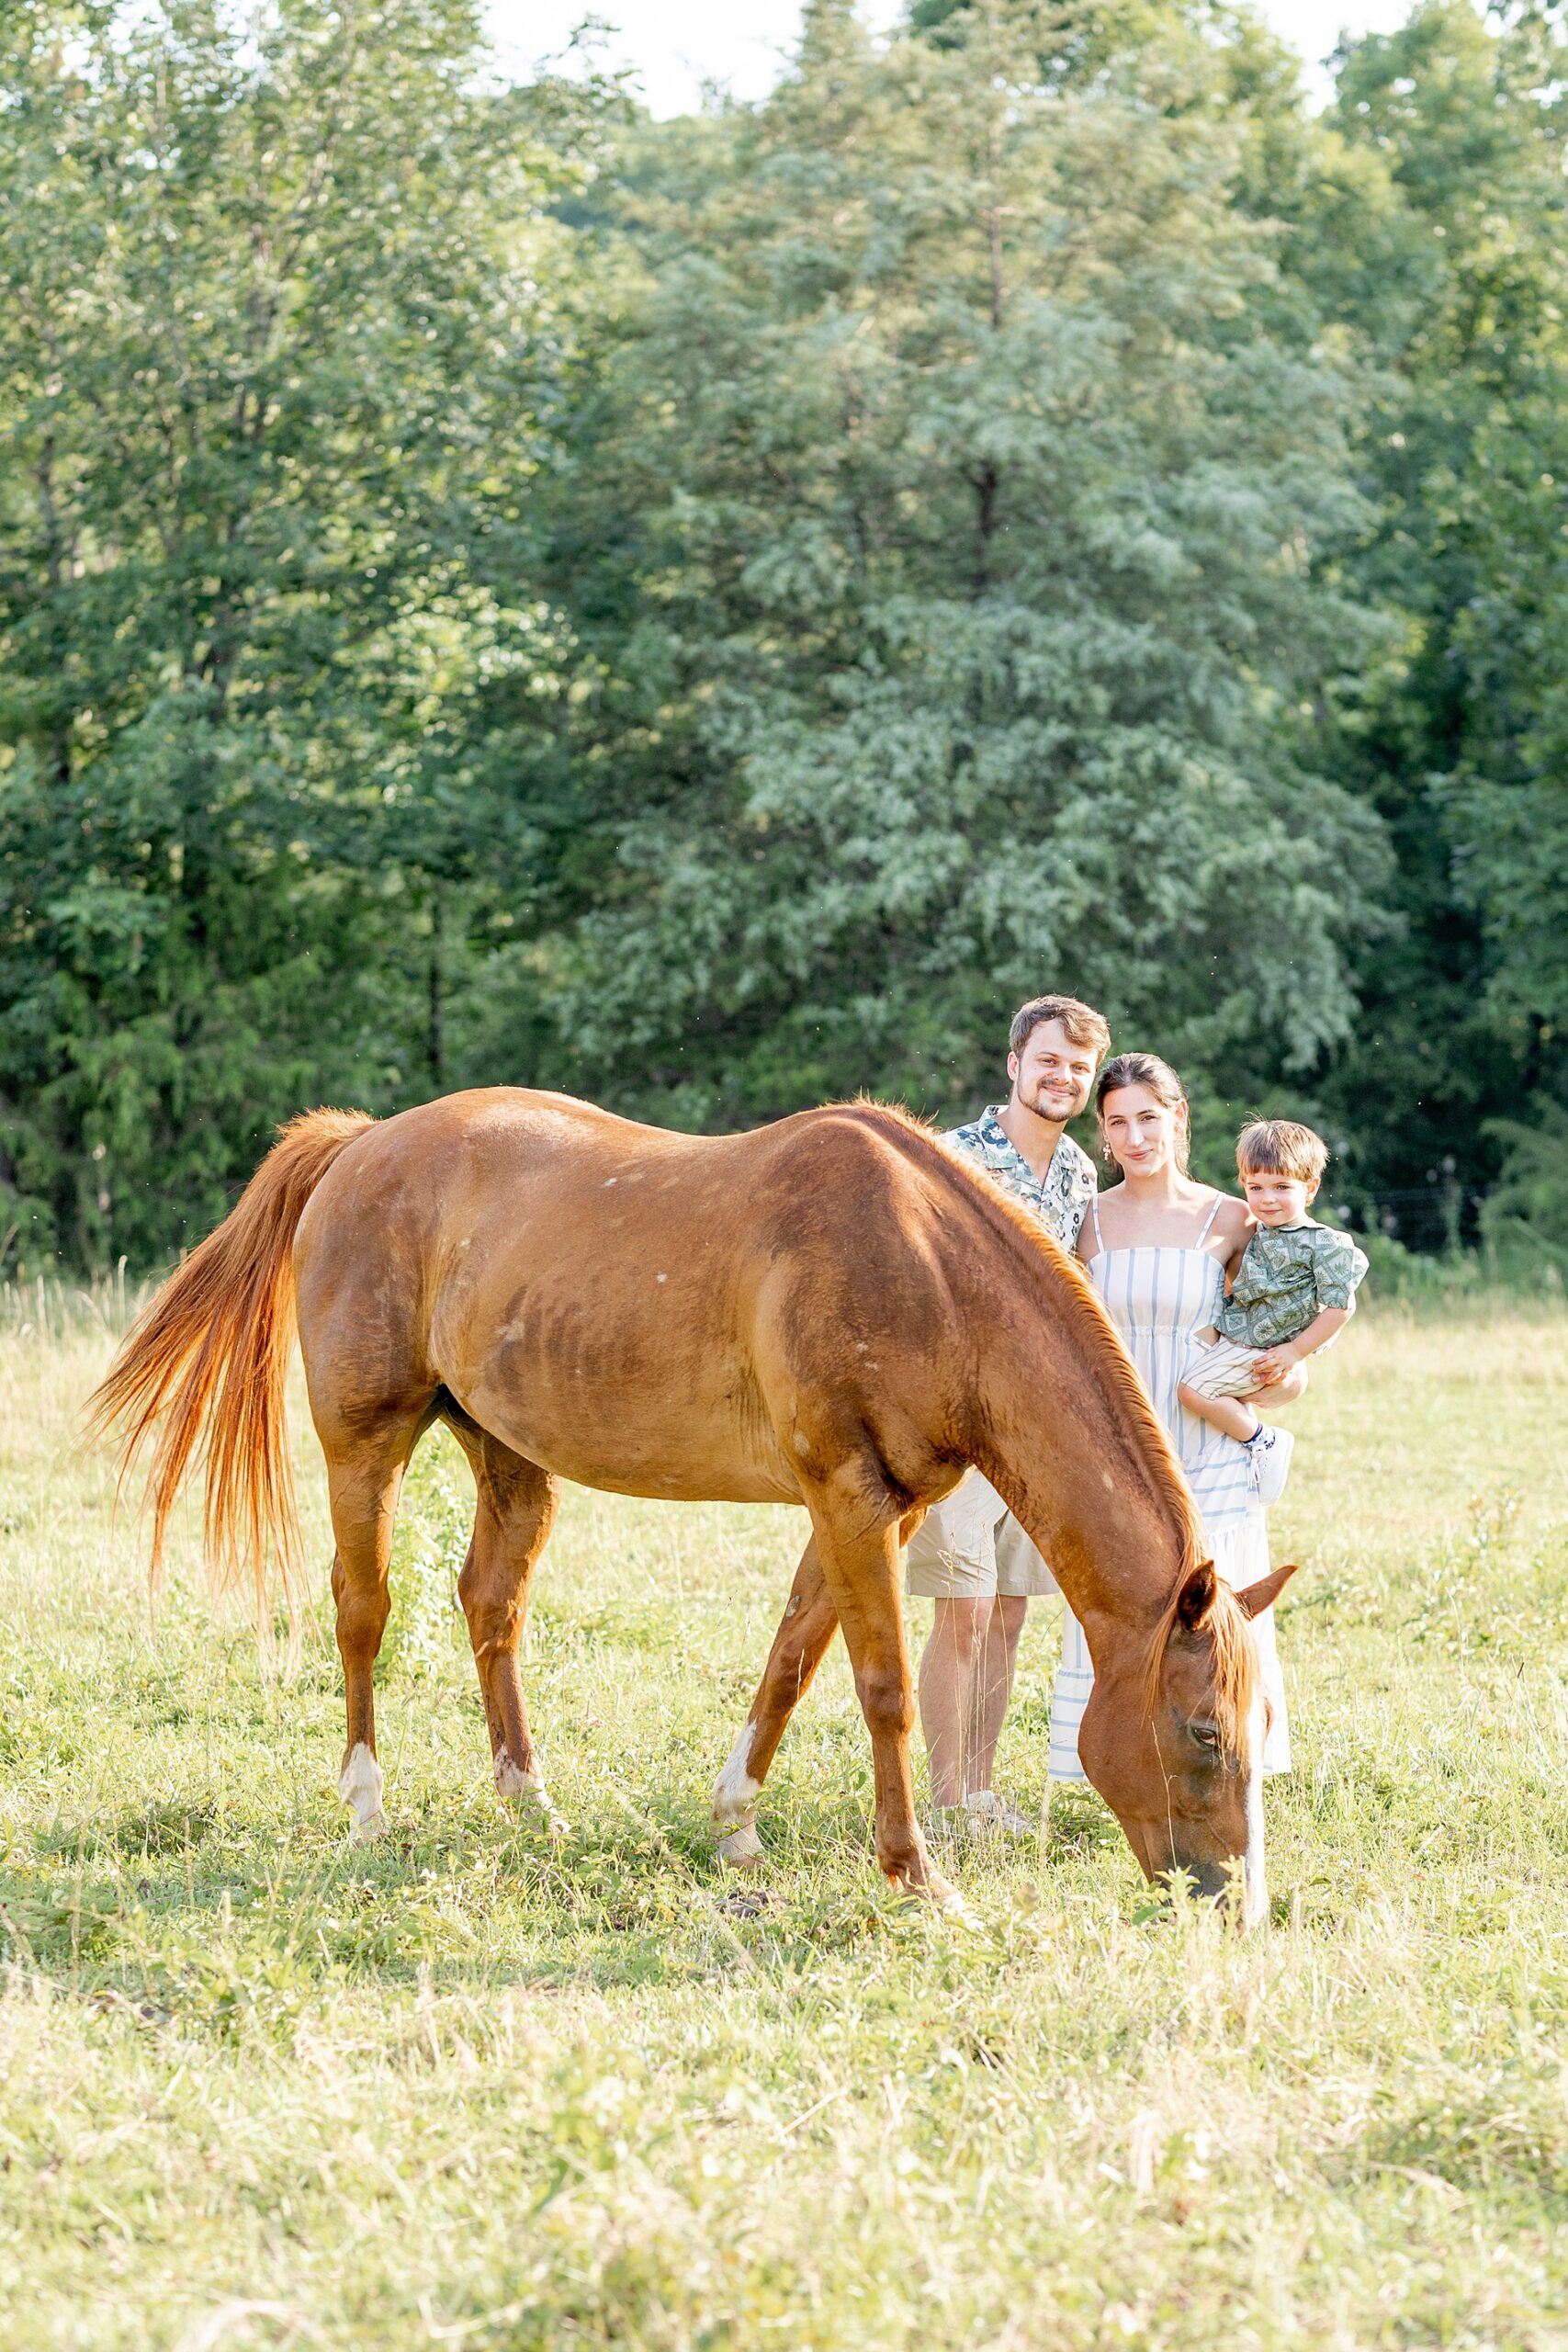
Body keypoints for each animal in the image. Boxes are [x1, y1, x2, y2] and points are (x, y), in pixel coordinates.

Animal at [89, 1087, 1294, 1919]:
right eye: (1202, 1728)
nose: (1229, 1898)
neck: (927, 1268)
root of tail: (361, 1142)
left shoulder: (878, 1506)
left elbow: (793, 1655)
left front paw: (735, 1821)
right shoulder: (850, 1499)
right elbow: (885, 1688)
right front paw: (916, 1875)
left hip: (509, 1456)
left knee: (490, 1604)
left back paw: (529, 1801)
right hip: (364, 1447)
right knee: (361, 1610)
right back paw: (368, 1807)